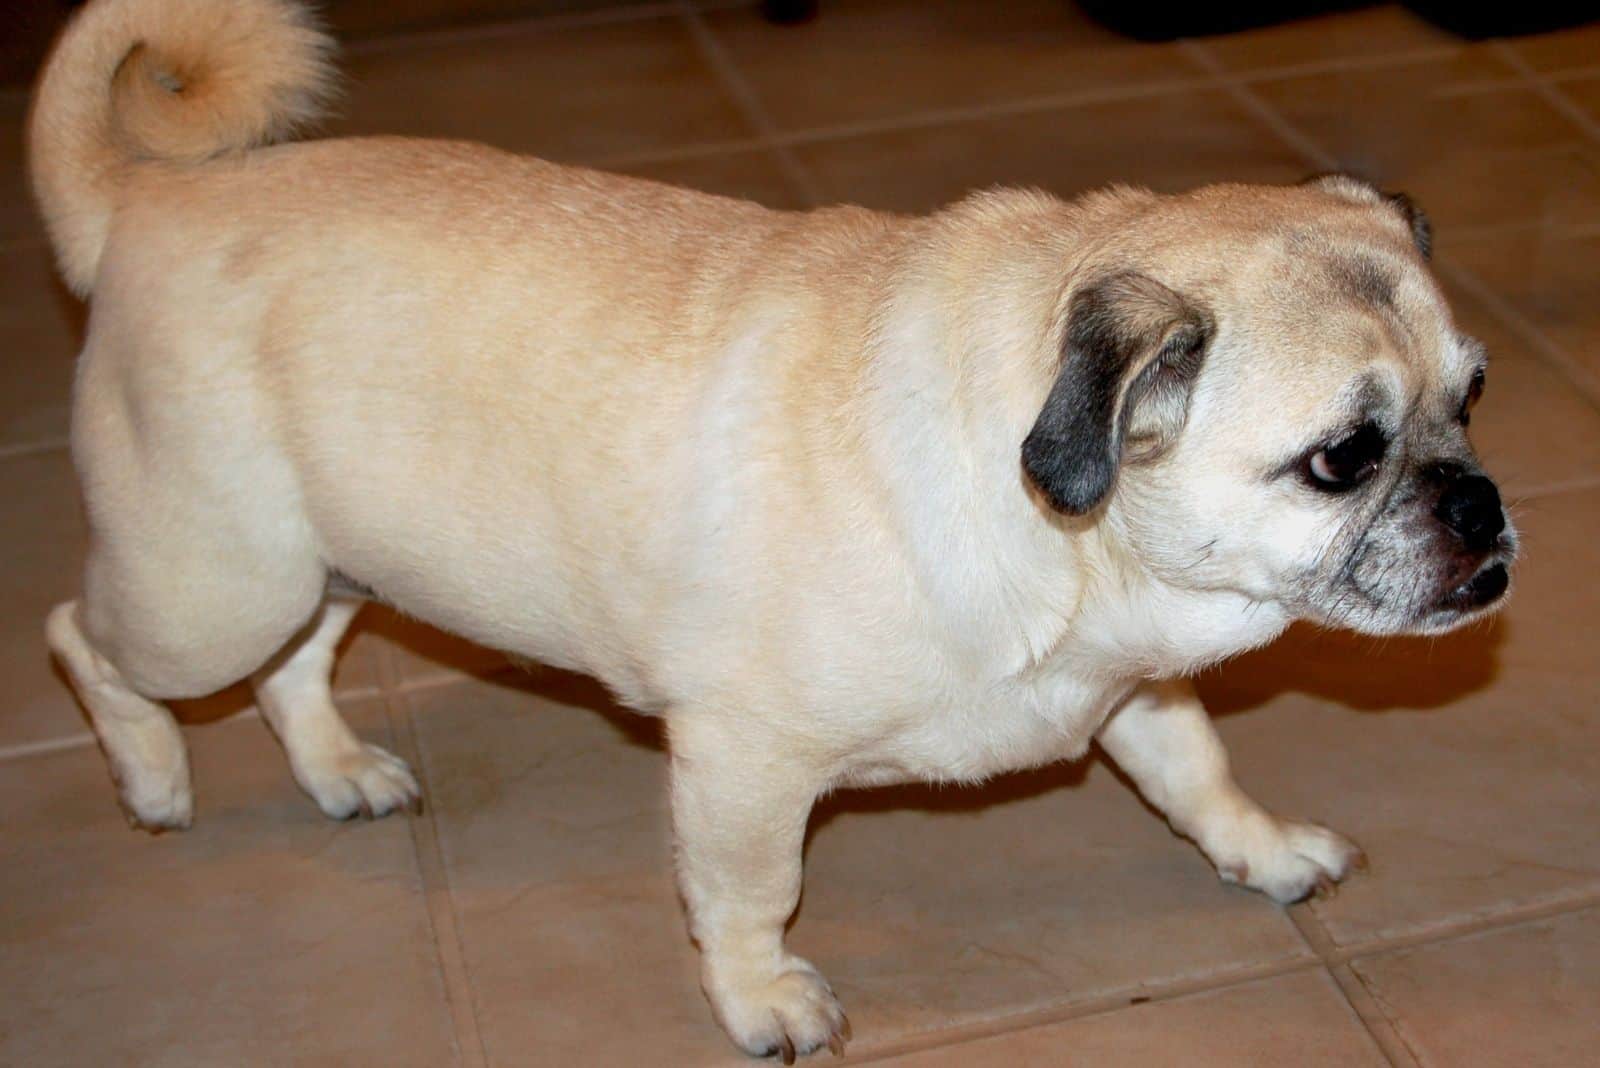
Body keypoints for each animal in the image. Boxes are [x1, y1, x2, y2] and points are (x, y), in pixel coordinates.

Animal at [31, 0, 1516, 1055]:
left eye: (1473, 399)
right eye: (1341, 461)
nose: (1482, 503)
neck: (1063, 524)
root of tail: (148, 202)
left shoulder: (1136, 683)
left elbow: (1197, 771)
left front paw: (1260, 850)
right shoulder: (743, 764)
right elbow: (749, 894)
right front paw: (762, 1003)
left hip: (317, 563)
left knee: (294, 672)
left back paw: (338, 768)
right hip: (209, 584)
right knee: (85, 640)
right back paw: (153, 778)